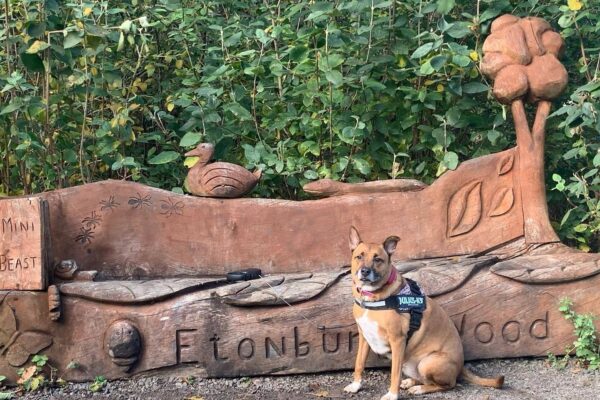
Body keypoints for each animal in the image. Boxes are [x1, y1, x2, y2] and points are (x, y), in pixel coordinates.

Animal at [342, 227, 502, 398]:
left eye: (377, 259)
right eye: (359, 256)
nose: (365, 271)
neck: (372, 297)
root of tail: (461, 366)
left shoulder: (398, 340)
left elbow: (394, 373)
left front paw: (392, 395)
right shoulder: (364, 337)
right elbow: (359, 363)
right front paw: (356, 385)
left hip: (427, 363)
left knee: (448, 385)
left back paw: (419, 389)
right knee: (425, 379)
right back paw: (411, 382)